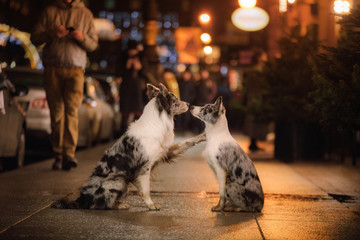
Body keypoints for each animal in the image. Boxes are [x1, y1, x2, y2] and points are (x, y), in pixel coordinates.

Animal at [53, 84, 205, 210]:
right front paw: (151, 205)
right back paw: (118, 205)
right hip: (118, 180)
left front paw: (203, 135)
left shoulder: (165, 152)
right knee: (100, 205)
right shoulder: (145, 167)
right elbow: (146, 190)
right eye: (175, 100)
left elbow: (187, 142)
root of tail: (83, 199)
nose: (189, 104)